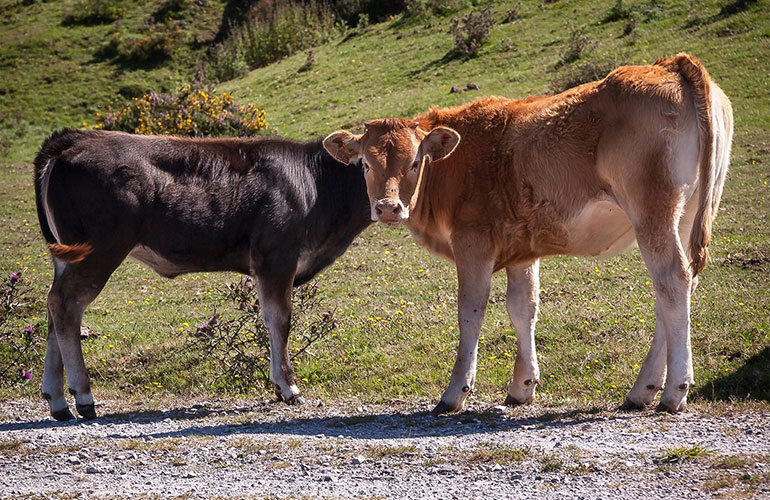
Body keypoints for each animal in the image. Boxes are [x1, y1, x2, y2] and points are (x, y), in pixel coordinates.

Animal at [34, 129, 371, 421]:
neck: (314, 184)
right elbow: (280, 320)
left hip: (66, 257)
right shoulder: (276, 257)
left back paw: (58, 402)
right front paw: (288, 387)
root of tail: (77, 138)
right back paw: (83, 397)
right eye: (368, 162)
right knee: (65, 305)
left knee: (55, 308)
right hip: (99, 250)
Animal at [323, 54, 733, 414]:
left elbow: (470, 310)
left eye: (414, 162)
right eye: (365, 164)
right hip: (686, 215)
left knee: (672, 280)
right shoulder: (523, 250)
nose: (387, 207)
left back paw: (674, 391)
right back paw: (642, 390)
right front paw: (522, 387)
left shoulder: (473, 243)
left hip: (652, 212)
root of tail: (670, 64)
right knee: (679, 287)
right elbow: (523, 308)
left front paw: (455, 393)